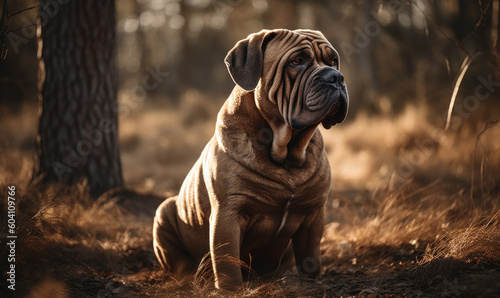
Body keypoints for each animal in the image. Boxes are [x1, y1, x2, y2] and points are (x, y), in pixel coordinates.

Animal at [152, 29, 348, 290]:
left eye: (333, 61)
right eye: (296, 62)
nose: (336, 77)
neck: (286, 152)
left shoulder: (313, 211)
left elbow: (310, 258)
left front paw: (313, 282)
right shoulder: (228, 213)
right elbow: (227, 262)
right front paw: (231, 290)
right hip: (164, 210)